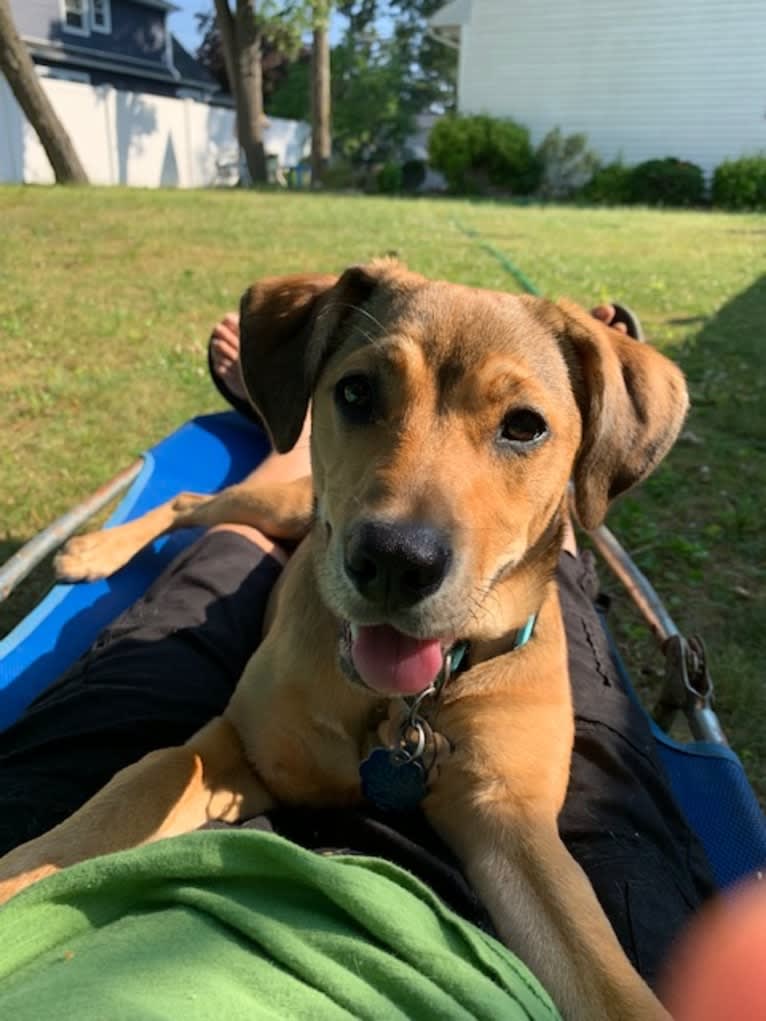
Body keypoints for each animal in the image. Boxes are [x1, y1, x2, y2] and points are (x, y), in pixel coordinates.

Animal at [0, 263, 690, 1021]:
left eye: (525, 426)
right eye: (356, 391)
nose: (394, 561)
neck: (404, 705)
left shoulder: (513, 829)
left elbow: (609, 980)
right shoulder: (241, 750)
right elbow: (126, 797)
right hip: (280, 503)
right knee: (190, 503)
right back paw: (94, 549)